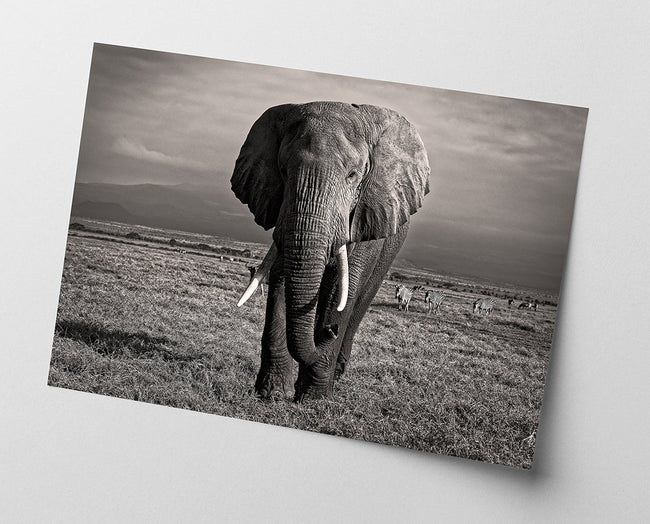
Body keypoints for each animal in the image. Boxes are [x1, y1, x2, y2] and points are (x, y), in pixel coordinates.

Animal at [231, 101, 430, 401]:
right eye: (283, 171)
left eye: (353, 176)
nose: (330, 331)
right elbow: (282, 274)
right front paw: (272, 393)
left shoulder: (366, 214)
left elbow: (342, 287)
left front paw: (314, 399)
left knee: (359, 300)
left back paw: (335, 372)